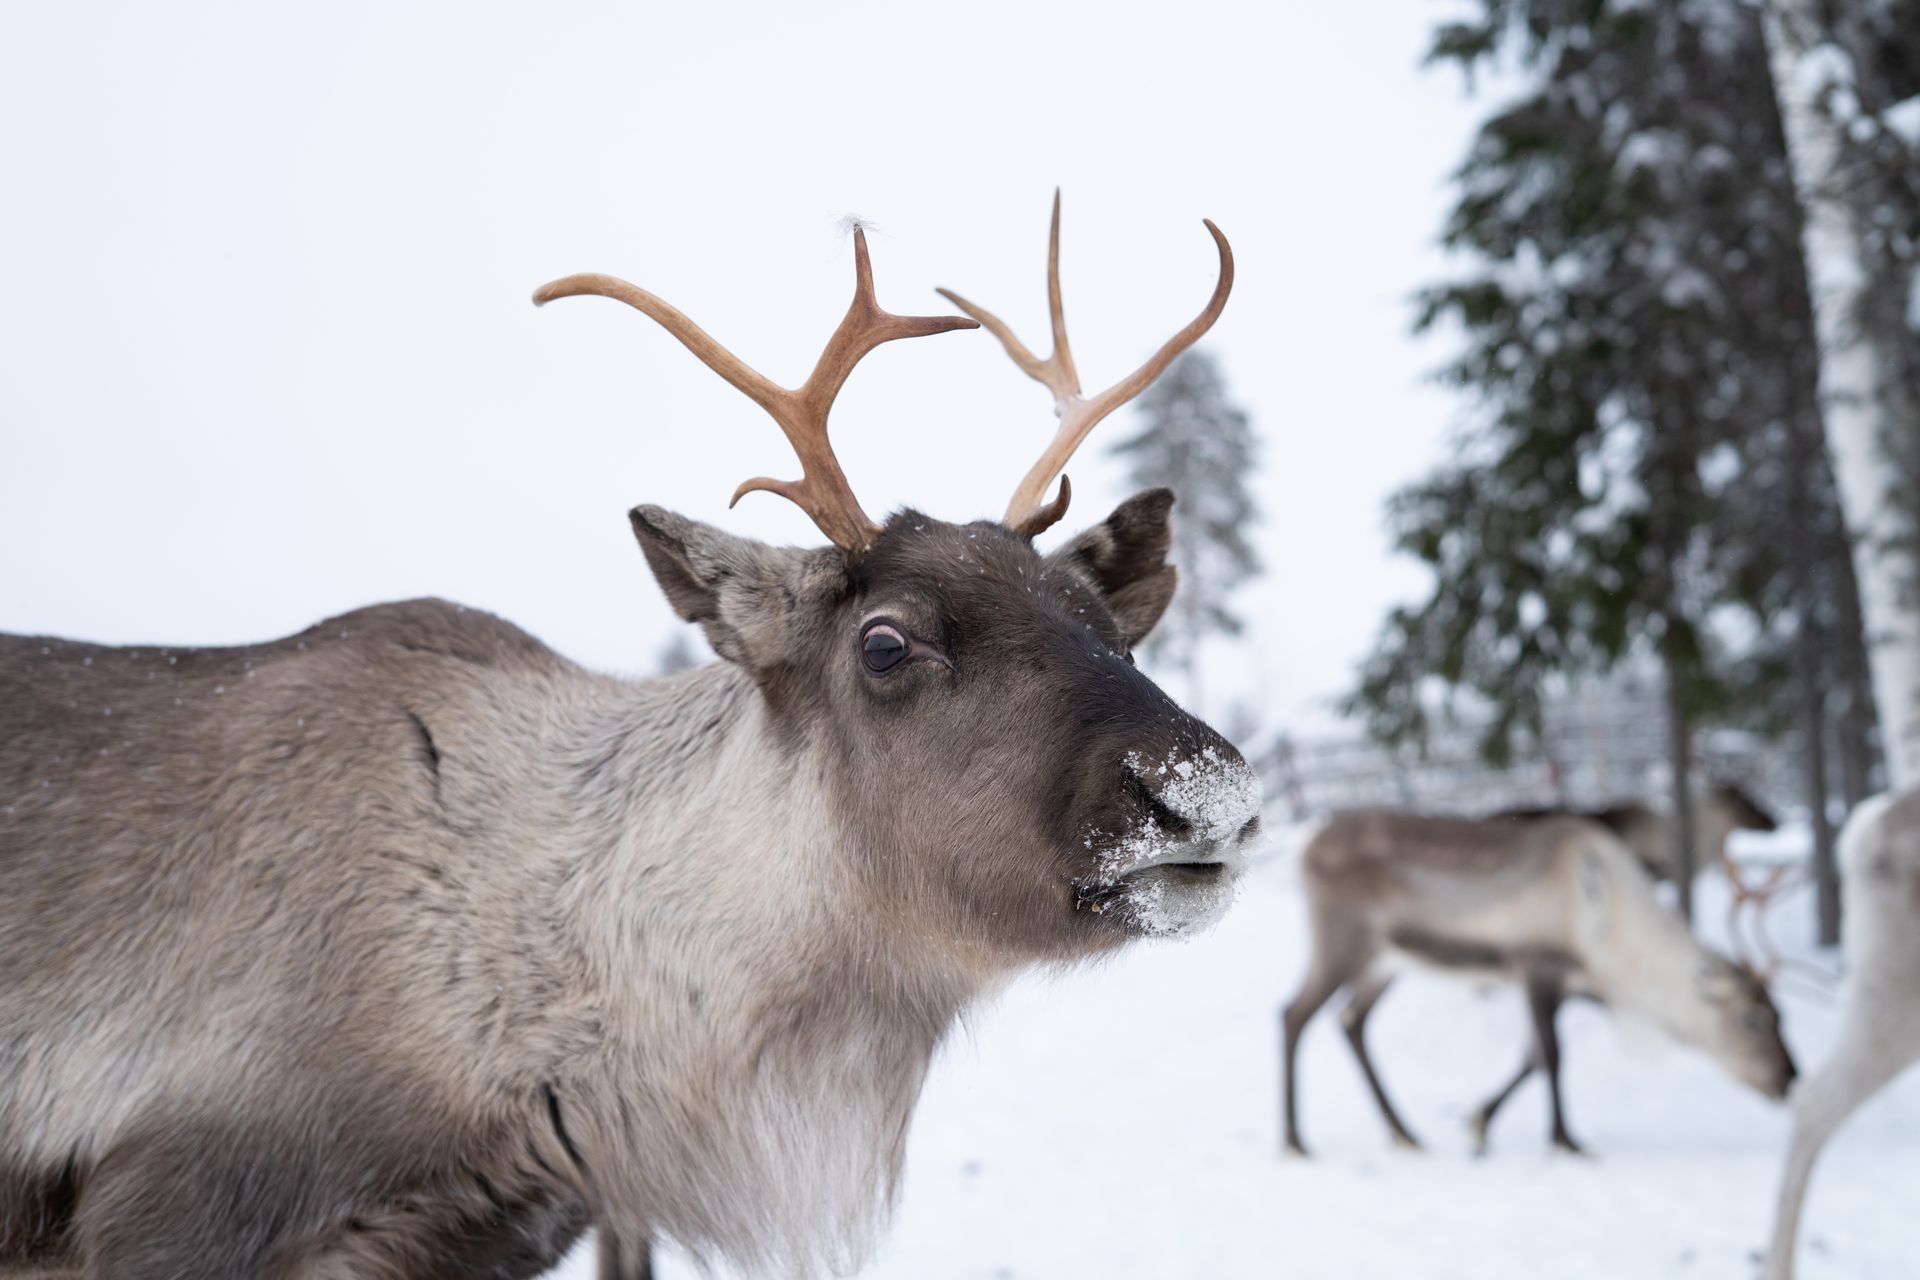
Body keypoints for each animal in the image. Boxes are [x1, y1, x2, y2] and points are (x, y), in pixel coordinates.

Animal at [1279, 809, 1796, 1159]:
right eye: (1754, 1019)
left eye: (1780, 1014)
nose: (1788, 1078)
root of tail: (1305, 847)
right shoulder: (1535, 966)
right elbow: (1552, 1054)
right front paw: (1566, 1141)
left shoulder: (1571, 985)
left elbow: (1530, 1058)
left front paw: (1479, 1122)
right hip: (1343, 944)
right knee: (1293, 1015)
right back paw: (1294, 1140)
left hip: (1386, 964)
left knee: (1351, 1021)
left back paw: (1404, 1133)